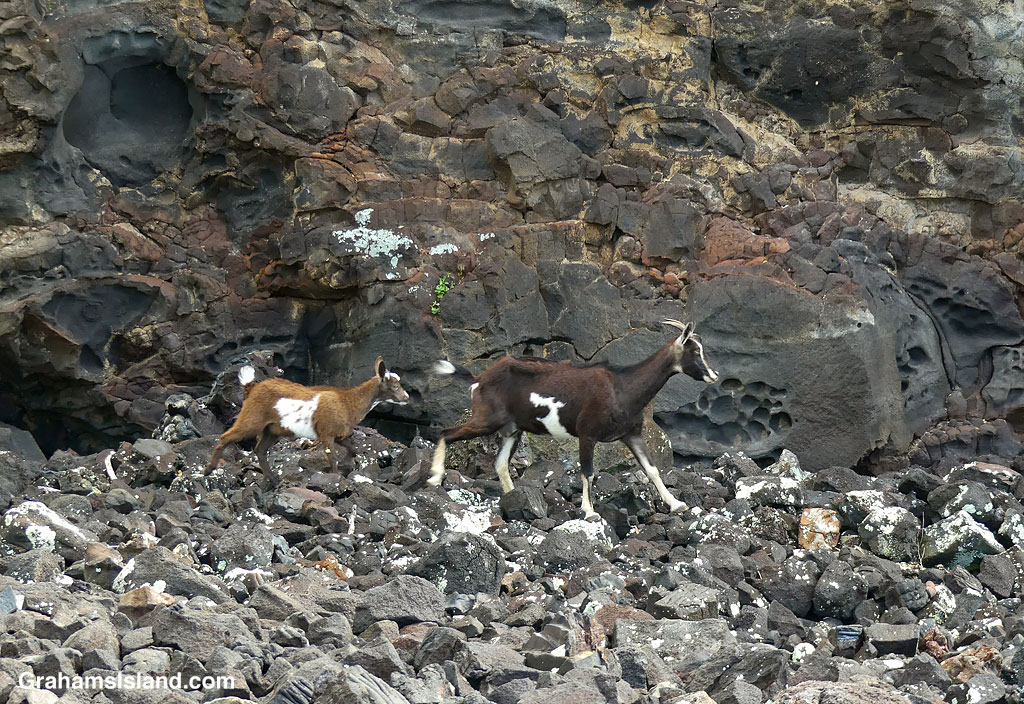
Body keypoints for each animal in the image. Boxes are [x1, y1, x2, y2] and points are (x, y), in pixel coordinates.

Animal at [205, 357, 410, 482]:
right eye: (394, 386)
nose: (407, 397)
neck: (348, 402)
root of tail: (251, 388)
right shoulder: (326, 433)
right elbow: (332, 459)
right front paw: (336, 477)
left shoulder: (339, 434)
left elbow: (353, 449)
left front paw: (347, 466)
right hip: (252, 417)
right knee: (226, 436)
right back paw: (209, 469)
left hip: (272, 429)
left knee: (260, 450)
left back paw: (274, 480)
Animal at [429, 320, 718, 518]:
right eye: (694, 351)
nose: (714, 375)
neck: (622, 387)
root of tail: (479, 380)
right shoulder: (587, 434)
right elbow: (588, 472)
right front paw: (589, 511)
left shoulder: (631, 434)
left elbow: (652, 469)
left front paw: (676, 504)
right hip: (486, 419)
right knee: (446, 432)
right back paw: (434, 478)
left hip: (512, 430)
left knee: (500, 464)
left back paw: (513, 498)